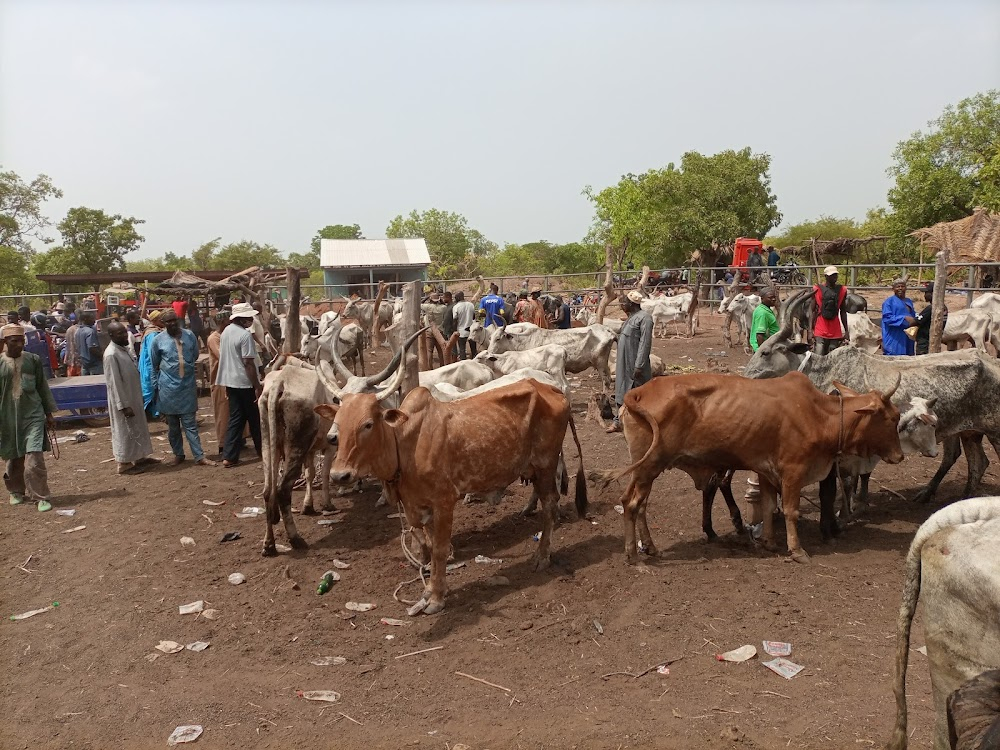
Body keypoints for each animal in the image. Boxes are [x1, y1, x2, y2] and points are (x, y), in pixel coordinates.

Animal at [314, 376, 584, 616]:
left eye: (368, 424)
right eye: (337, 425)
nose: (340, 475)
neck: (404, 445)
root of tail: (552, 389)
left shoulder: (444, 502)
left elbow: (440, 550)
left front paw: (436, 599)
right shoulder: (420, 507)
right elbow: (430, 545)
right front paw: (430, 590)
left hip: (546, 464)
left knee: (550, 504)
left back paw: (542, 557)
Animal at [486, 324, 616, 394]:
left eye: (498, 338)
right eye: (490, 337)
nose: (489, 352)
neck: (525, 340)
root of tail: (608, 330)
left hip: (600, 363)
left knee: (606, 381)